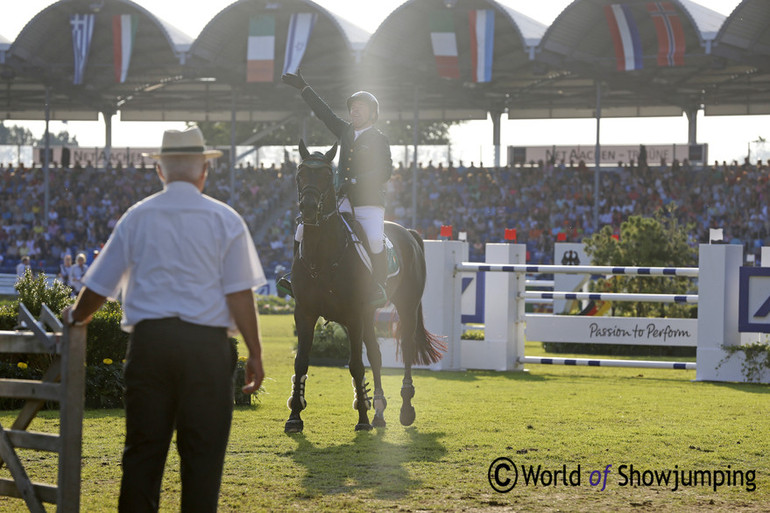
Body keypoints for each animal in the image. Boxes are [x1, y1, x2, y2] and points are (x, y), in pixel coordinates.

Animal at [286, 140, 444, 432]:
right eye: (300, 173)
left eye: (327, 175)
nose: (309, 208)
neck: (322, 254)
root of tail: (409, 233)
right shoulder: (305, 313)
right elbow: (301, 361)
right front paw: (294, 416)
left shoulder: (352, 315)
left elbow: (356, 365)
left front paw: (361, 418)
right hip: (369, 314)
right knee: (377, 355)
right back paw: (379, 412)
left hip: (406, 306)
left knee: (406, 349)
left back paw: (405, 409)